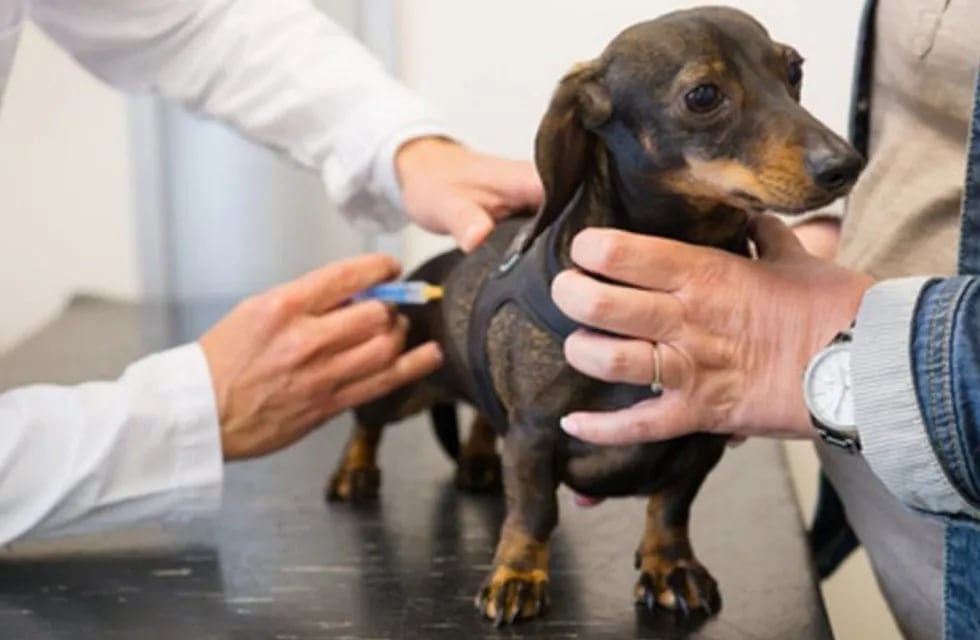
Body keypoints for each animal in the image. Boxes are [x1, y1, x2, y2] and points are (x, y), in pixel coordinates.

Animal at [326, 5, 860, 624]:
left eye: (793, 70)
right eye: (703, 96)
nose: (846, 165)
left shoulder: (699, 436)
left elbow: (670, 509)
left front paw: (670, 566)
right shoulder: (534, 435)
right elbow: (534, 512)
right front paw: (517, 575)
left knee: (482, 415)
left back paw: (478, 461)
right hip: (401, 384)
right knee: (368, 423)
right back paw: (355, 471)